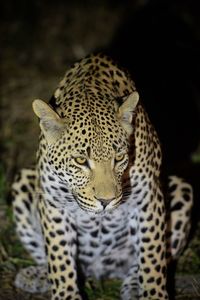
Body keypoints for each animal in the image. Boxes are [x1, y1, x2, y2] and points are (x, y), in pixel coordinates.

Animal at [11, 52, 193, 298]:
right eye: (80, 161)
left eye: (119, 157)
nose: (106, 202)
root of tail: (98, 271)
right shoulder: (53, 203)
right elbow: (58, 259)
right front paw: (65, 293)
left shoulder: (149, 200)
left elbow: (152, 258)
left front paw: (153, 293)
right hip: (23, 182)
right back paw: (36, 276)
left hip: (181, 189)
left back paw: (133, 287)